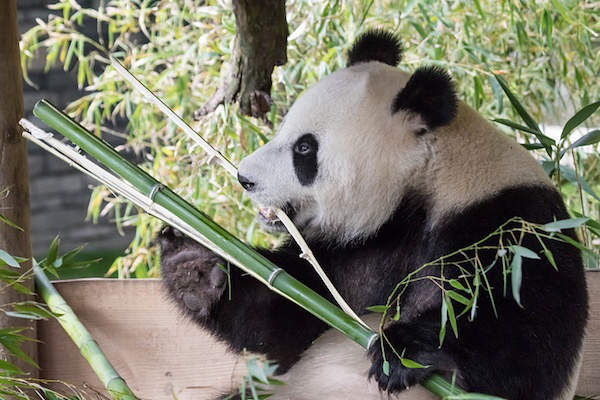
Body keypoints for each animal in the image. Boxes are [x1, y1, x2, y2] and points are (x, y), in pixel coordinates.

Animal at [158, 29, 584, 398]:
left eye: (304, 149)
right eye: (282, 127)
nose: (244, 177)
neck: (427, 178)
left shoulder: (511, 218)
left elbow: (528, 343)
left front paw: (404, 350)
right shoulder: (360, 245)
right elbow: (287, 317)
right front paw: (193, 268)